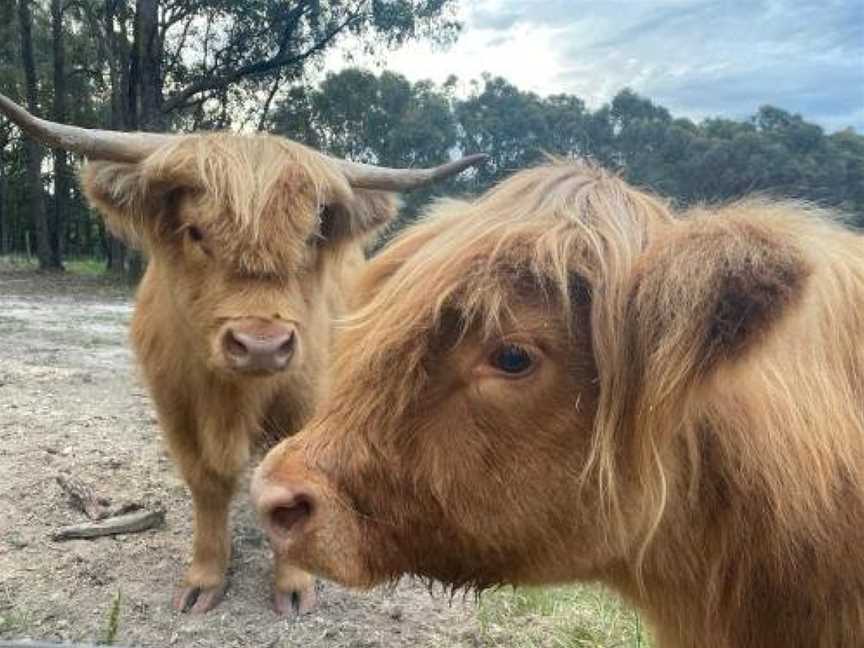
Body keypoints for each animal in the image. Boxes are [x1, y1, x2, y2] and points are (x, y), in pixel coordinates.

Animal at [0, 93, 486, 616]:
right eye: (195, 232)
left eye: (310, 237)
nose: (262, 346)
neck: (231, 402)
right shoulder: (177, 410)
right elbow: (208, 487)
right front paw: (204, 579)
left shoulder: (305, 402)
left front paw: (293, 585)